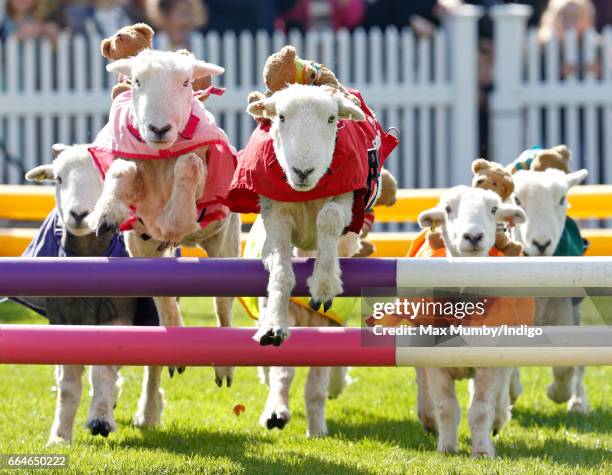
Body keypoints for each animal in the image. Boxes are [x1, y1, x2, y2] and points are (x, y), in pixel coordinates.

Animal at [22, 145, 165, 446]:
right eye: (58, 179)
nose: (79, 214)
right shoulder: (62, 317)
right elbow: (68, 384)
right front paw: (60, 435)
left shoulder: (118, 311)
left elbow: (102, 370)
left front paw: (100, 420)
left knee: (152, 368)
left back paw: (148, 413)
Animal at [85, 47, 241, 386]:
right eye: (136, 81)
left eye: (186, 83)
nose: (158, 129)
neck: (159, 156)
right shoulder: (135, 178)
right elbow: (122, 169)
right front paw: (107, 212)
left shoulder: (200, 171)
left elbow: (189, 164)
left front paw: (174, 221)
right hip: (142, 250)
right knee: (164, 296)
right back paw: (175, 350)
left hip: (225, 244)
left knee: (223, 306)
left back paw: (224, 366)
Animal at [228, 84, 396, 346]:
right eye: (281, 117)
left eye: (332, 118)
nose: (303, 171)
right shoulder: (276, 213)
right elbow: (281, 269)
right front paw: (274, 325)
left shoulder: (345, 200)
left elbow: (329, 219)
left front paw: (324, 286)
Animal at [416, 186, 532, 458]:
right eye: (448, 209)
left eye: (494, 209)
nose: (473, 236)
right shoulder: (435, 363)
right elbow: (446, 406)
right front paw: (446, 448)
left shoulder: (490, 362)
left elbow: (480, 409)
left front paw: (482, 452)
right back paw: (427, 418)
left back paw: (499, 419)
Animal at [512, 166, 592, 412]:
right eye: (516, 200)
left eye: (562, 199)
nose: (541, 244)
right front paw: (511, 391)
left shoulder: (563, 316)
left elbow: (566, 366)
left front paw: (557, 394)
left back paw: (577, 403)